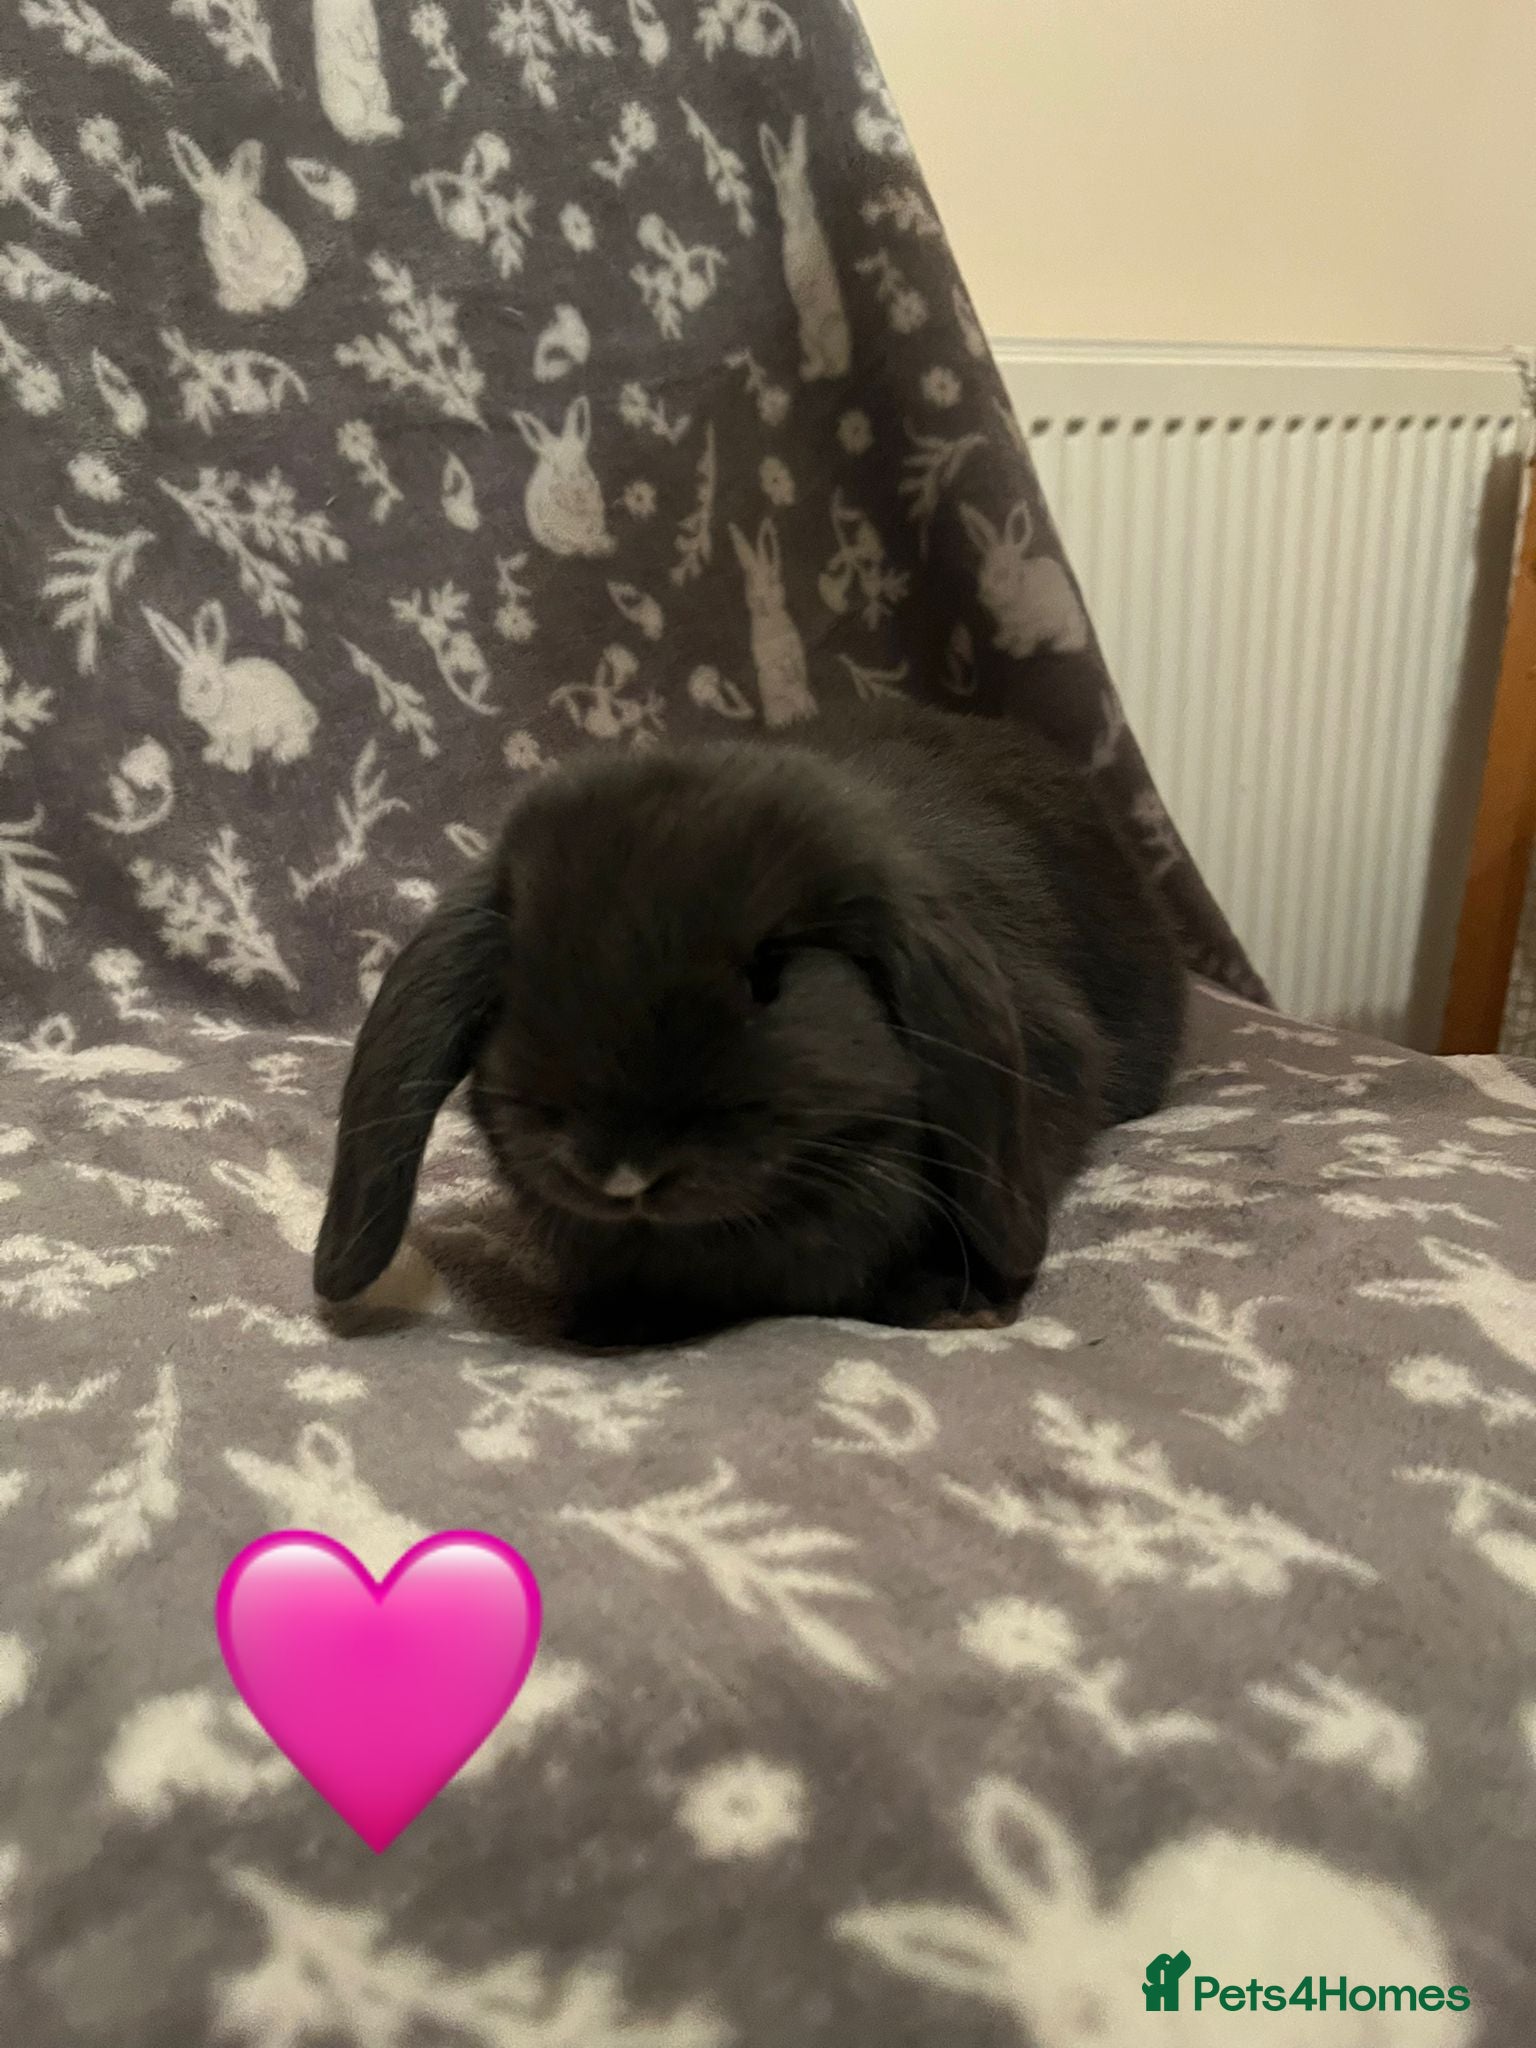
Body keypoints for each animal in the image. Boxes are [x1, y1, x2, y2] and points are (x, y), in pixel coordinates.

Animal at [142, 601, 318, 772]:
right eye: (180, 682)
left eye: (205, 685)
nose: (188, 705)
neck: (224, 698)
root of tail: (303, 708)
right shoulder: (220, 736)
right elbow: (221, 744)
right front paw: (211, 755)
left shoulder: (242, 731)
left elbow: (241, 747)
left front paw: (236, 765)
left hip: (286, 721)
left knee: (300, 741)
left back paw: (283, 753)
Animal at [312, 0, 403, 144]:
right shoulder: (342, 25)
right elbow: (353, 36)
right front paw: (364, 54)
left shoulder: (366, 14)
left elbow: (370, 31)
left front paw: (373, 53)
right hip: (349, 95)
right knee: (361, 123)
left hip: (381, 88)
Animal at [730, 516, 818, 728]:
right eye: (749, 582)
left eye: (773, 579)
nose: (760, 602)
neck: (771, 616)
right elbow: (774, 664)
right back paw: (785, 720)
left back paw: (805, 713)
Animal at [760, 115, 853, 382]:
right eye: (781, 187)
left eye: (804, 182)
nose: (800, 211)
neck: (800, 225)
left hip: (816, 332)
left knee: (821, 366)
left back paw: (806, 370)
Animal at [960, 499, 1091, 661]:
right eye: (983, 568)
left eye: (1008, 573)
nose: (987, 593)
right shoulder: (1007, 626)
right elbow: (1006, 635)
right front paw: (999, 643)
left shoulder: (1032, 626)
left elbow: (1026, 640)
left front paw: (1018, 653)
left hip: (1068, 617)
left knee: (1073, 635)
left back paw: (1061, 645)